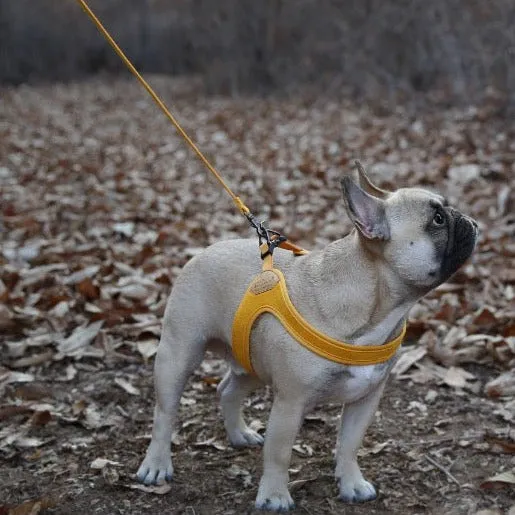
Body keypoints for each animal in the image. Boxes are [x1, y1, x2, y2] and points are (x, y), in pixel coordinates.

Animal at [135, 164, 478, 512]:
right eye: (437, 219)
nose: (468, 219)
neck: (375, 307)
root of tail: (205, 251)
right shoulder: (291, 402)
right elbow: (279, 453)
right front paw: (274, 495)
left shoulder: (365, 399)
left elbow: (349, 445)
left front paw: (352, 484)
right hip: (178, 355)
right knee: (165, 413)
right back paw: (156, 465)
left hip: (252, 362)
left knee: (228, 389)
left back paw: (240, 434)